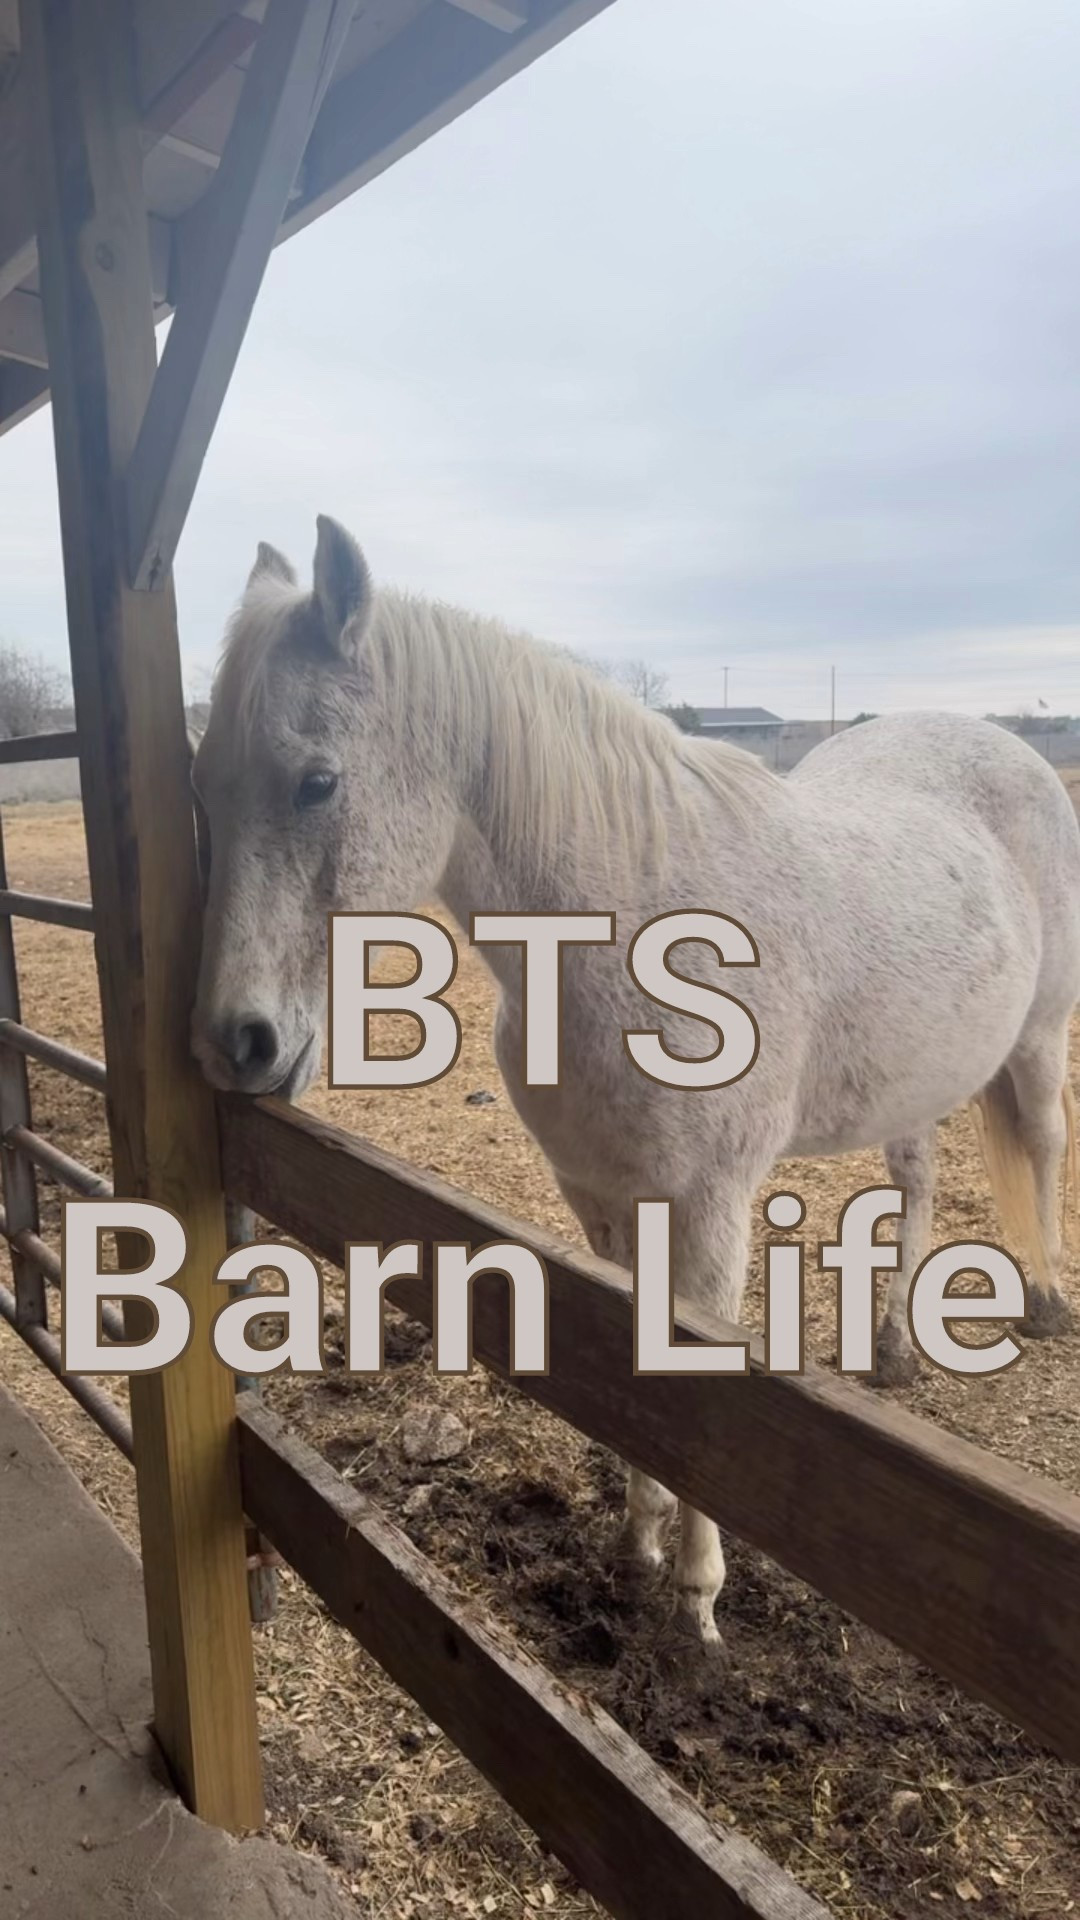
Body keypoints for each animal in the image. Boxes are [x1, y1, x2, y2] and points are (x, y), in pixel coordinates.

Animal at [190, 515, 1080, 1648]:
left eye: (315, 782)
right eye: (204, 785)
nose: (236, 1042)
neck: (634, 931)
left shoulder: (710, 1203)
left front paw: (697, 1597)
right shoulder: (604, 1199)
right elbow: (631, 1372)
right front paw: (636, 1544)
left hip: (1040, 1035)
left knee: (1043, 1142)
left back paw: (1045, 1299)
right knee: (916, 1179)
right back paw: (891, 1348)